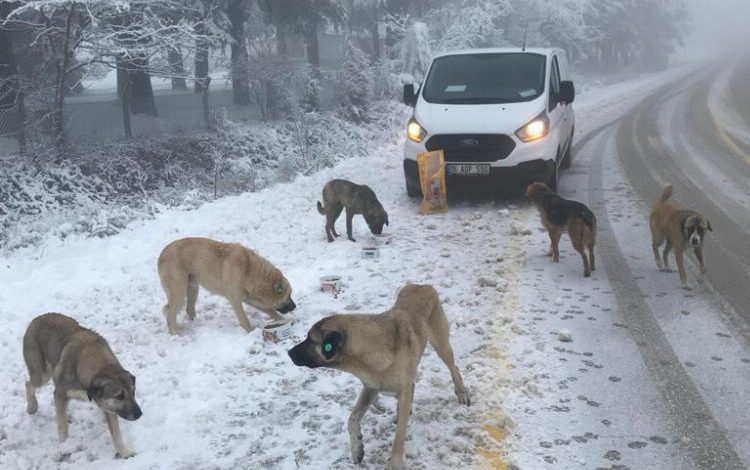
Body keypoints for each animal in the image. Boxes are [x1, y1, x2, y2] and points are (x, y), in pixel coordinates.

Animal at [23, 314, 142, 458]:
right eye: (119, 396)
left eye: (133, 392)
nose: (140, 414)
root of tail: (36, 318)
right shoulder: (60, 393)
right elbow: (63, 427)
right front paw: (65, 447)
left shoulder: (108, 406)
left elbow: (116, 432)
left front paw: (123, 451)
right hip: (41, 375)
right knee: (28, 384)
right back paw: (32, 407)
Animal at [159, 239, 296, 334]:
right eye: (289, 295)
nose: (294, 306)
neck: (249, 270)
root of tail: (162, 253)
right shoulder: (235, 299)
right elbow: (244, 319)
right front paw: (250, 331)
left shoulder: (249, 298)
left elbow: (271, 311)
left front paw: (284, 320)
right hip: (179, 293)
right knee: (170, 317)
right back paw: (175, 333)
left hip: (192, 289)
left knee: (189, 309)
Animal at [288, 282, 470, 470]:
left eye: (310, 340)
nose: (289, 353)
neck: (368, 350)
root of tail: (423, 285)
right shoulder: (371, 387)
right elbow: (352, 418)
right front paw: (357, 449)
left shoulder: (398, 390)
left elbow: (398, 437)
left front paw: (395, 464)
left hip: (441, 344)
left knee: (453, 367)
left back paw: (462, 392)